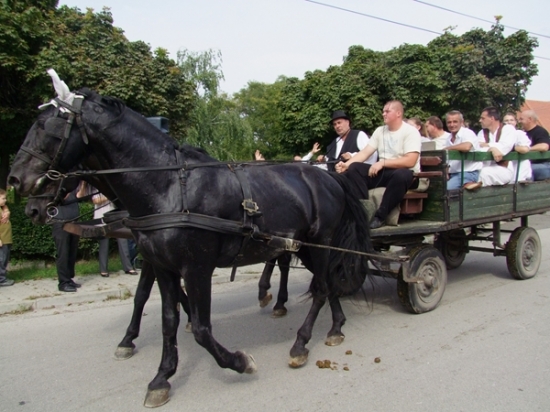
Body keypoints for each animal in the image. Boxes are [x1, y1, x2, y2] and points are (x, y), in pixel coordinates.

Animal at [8, 76, 372, 407]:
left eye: (48, 127)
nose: (16, 183)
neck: (170, 187)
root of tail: (328, 175)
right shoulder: (162, 266)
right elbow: (167, 319)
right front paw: (161, 377)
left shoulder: (196, 268)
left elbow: (200, 328)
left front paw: (239, 361)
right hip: (309, 248)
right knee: (326, 283)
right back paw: (334, 327)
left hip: (319, 243)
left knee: (321, 287)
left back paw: (300, 343)